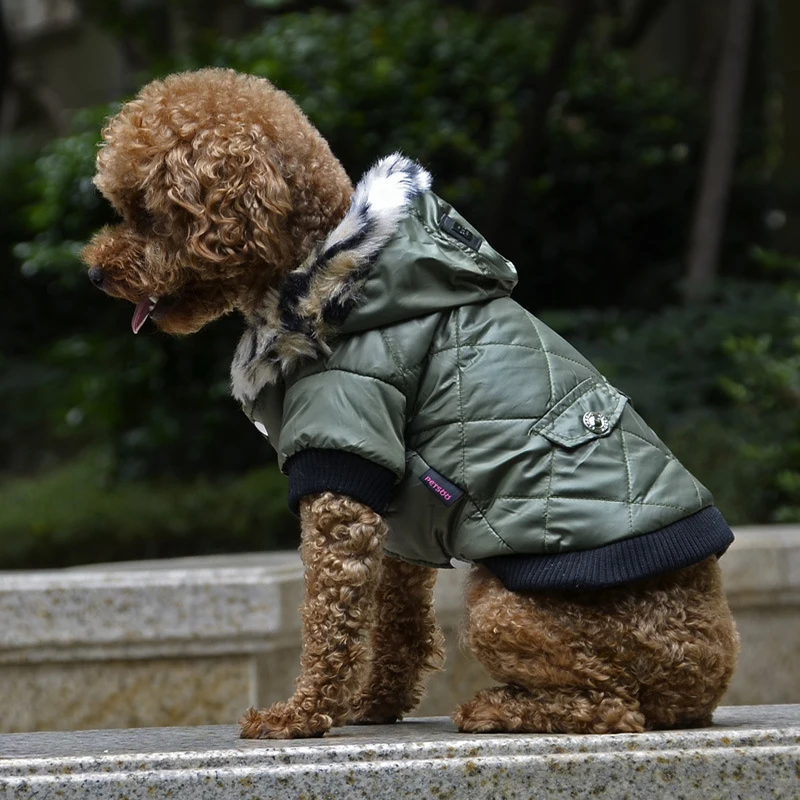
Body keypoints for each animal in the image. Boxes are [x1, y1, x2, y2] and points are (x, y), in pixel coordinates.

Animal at [81, 69, 736, 736]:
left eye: (146, 211)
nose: (94, 274)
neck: (331, 276)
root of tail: (706, 675)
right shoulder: (398, 502)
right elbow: (399, 620)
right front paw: (376, 705)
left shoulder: (345, 457)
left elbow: (330, 615)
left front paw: (301, 714)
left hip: (505, 611)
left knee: (614, 702)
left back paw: (497, 708)